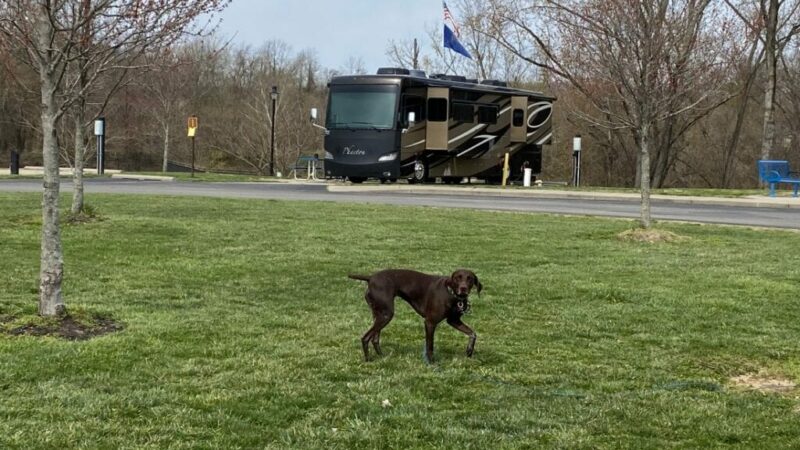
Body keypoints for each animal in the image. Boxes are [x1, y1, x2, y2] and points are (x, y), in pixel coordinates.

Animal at [346, 268, 482, 364]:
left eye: (470, 278)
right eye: (458, 278)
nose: (463, 288)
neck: (452, 294)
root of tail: (370, 278)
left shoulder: (453, 321)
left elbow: (473, 333)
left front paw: (469, 350)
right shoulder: (430, 322)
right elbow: (430, 346)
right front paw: (432, 362)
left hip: (379, 315)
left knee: (374, 338)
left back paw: (381, 356)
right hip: (386, 315)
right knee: (365, 338)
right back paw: (368, 360)